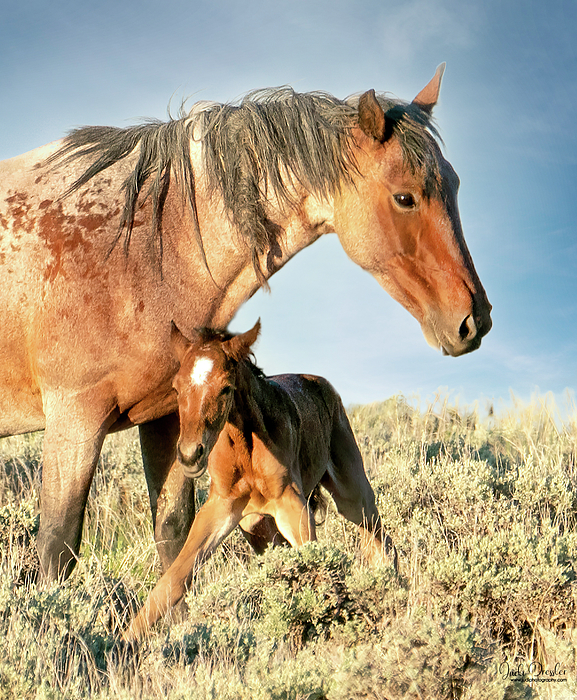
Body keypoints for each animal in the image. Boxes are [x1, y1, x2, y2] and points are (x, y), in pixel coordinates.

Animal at [0, 65, 490, 584]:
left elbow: (173, 535)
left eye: (455, 186)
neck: (143, 248)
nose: (474, 320)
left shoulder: (166, 418)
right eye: (404, 197)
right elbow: (58, 546)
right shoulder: (74, 418)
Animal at [125, 322, 396, 640]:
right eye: (176, 387)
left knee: (379, 540)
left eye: (225, 388)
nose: (190, 455)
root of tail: (322, 384)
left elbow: (313, 564)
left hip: (352, 492)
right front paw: (122, 642)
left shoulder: (292, 505)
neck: (246, 452)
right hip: (255, 526)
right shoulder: (221, 507)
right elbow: (173, 580)